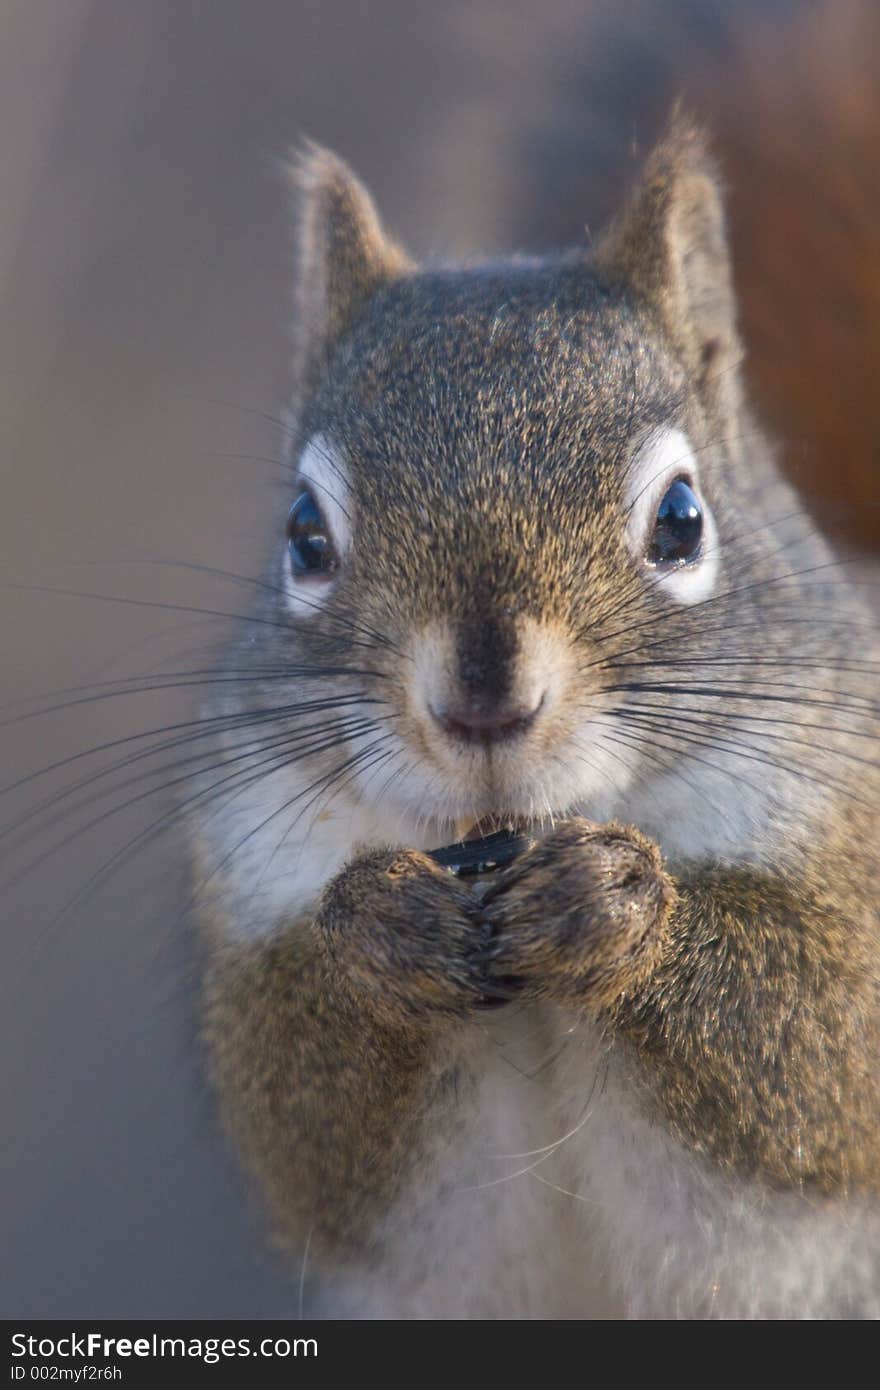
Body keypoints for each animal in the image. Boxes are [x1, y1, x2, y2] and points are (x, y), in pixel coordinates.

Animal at [191, 113, 878, 1317]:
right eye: (304, 536)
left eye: (683, 519)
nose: (483, 702)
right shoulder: (254, 879)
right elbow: (309, 1133)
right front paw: (383, 927)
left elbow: (826, 1056)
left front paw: (612, 907)